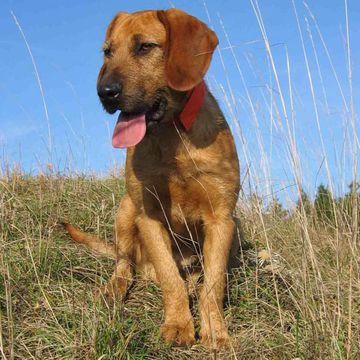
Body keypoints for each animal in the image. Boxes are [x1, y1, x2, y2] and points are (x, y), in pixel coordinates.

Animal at [63, 8, 240, 350]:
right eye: (107, 52)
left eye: (145, 47)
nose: (105, 93)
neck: (173, 137)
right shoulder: (149, 214)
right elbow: (170, 277)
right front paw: (178, 325)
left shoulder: (221, 219)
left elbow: (213, 283)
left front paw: (216, 332)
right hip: (126, 209)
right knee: (125, 265)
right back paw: (114, 290)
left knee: (195, 279)